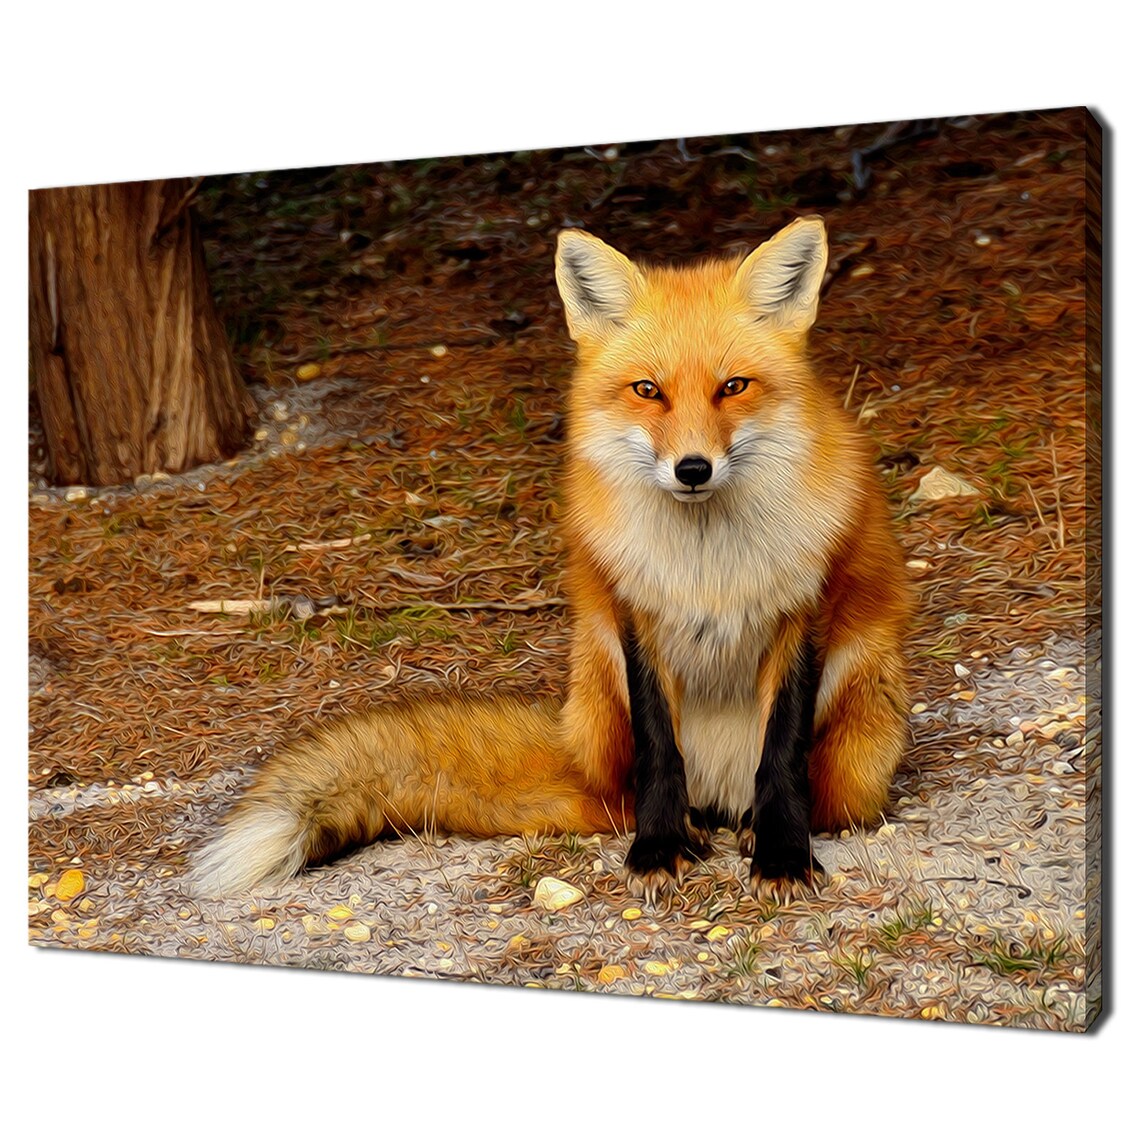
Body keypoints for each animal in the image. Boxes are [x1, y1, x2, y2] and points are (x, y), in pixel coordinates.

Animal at [187, 215, 911, 904]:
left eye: (734, 387)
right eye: (647, 390)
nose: (693, 469)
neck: (705, 563)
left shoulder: (803, 612)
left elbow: (781, 755)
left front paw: (784, 856)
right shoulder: (634, 613)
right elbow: (659, 753)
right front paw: (658, 849)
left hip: (857, 741)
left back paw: (753, 828)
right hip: (600, 695)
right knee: (630, 798)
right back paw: (684, 827)